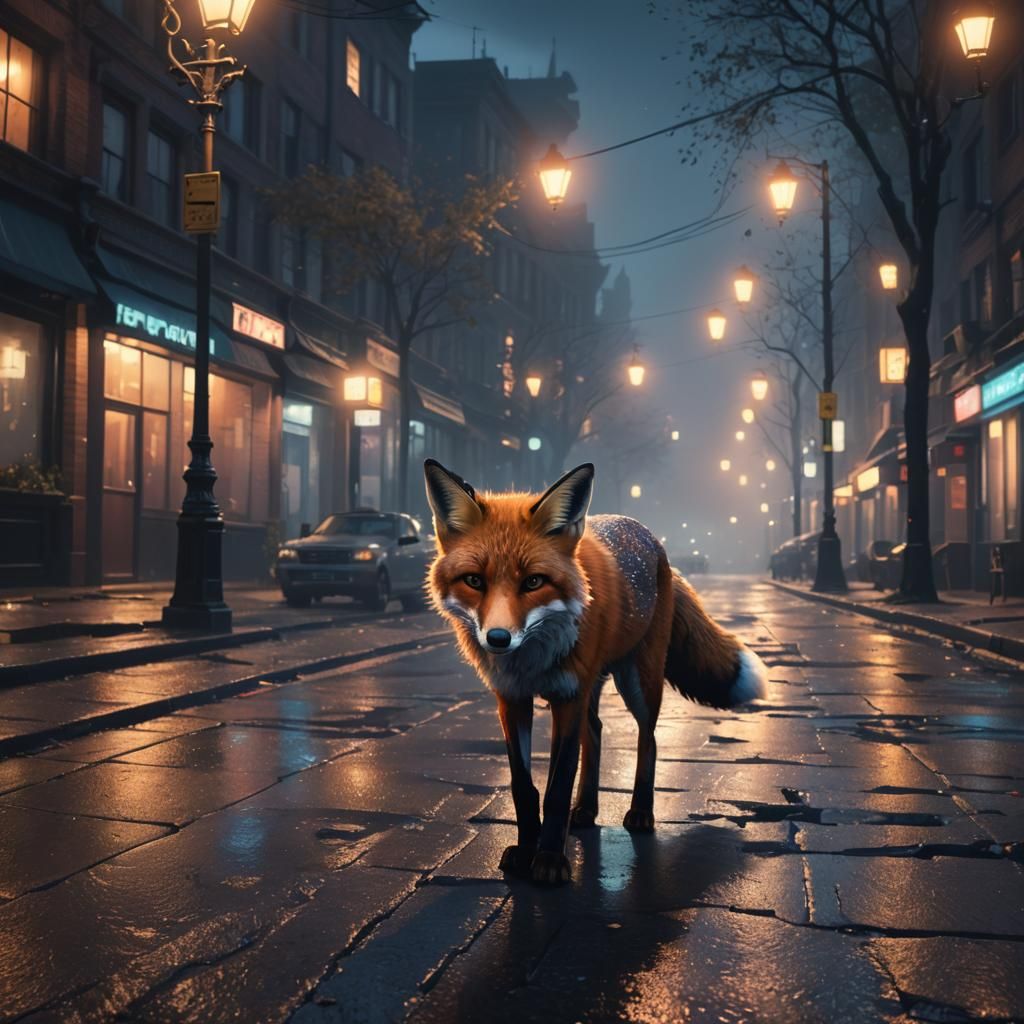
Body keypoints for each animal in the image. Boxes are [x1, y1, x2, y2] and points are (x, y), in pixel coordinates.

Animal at [424, 458, 768, 886]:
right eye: (474, 580)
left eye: (533, 581)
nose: (498, 639)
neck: (533, 658)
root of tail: (648, 536)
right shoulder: (513, 697)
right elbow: (524, 786)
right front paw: (526, 850)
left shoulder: (567, 696)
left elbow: (556, 787)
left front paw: (549, 861)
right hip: (592, 686)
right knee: (598, 732)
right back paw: (586, 809)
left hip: (637, 681)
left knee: (649, 740)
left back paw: (641, 812)